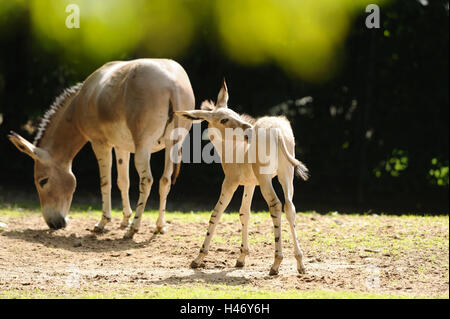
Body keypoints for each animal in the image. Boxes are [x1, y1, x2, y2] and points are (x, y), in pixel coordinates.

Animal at [176, 81, 310, 276]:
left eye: (234, 115)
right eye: (224, 119)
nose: (248, 129)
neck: (233, 148)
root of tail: (276, 131)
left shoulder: (229, 183)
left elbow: (216, 214)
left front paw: (198, 258)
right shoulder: (250, 184)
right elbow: (244, 213)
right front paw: (241, 258)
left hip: (266, 180)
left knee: (275, 205)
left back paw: (276, 263)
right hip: (286, 176)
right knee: (289, 207)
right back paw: (300, 263)